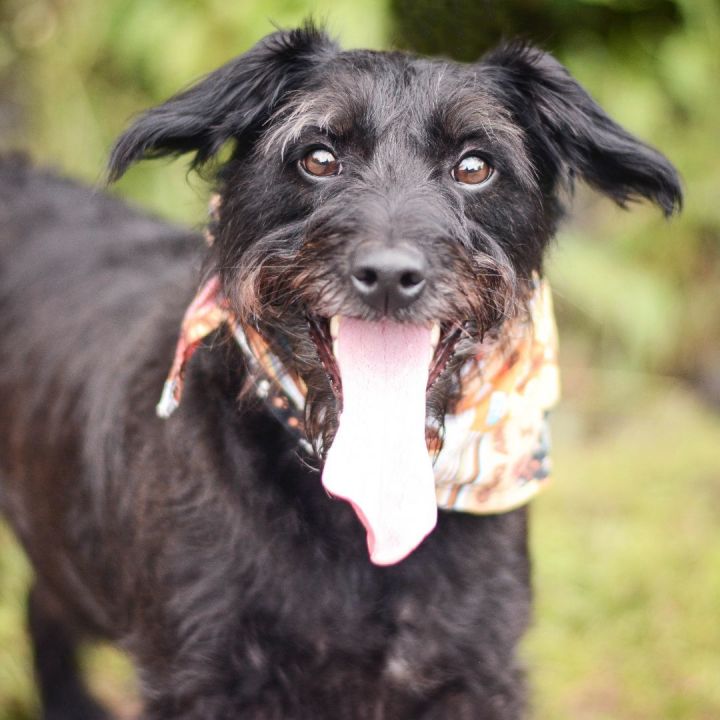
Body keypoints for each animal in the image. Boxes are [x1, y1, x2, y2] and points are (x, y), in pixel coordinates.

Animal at [0, 23, 680, 720]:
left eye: (474, 167)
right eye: (319, 158)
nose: (389, 275)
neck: (369, 514)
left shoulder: (474, 671)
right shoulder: (203, 679)